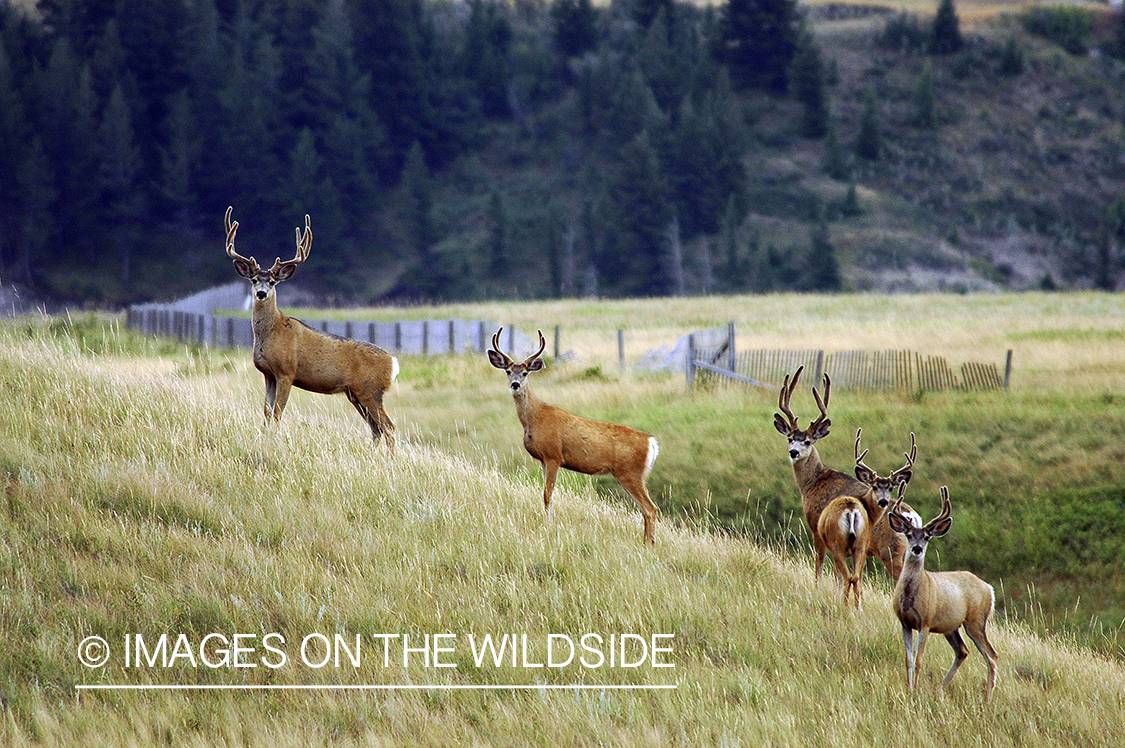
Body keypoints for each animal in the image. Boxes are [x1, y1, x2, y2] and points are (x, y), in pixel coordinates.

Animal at [224, 206, 397, 450]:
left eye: (272, 282)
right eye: (254, 279)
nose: (261, 293)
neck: (273, 332)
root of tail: (393, 363)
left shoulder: (287, 371)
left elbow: (276, 414)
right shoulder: (268, 374)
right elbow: (266, 414)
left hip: (370, 390)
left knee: (388, 427)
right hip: (356, 393)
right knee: (376, 429)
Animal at [487, 328, 660, 545]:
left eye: (525, 372)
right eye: (508, 371)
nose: (516, 384)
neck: (535, 417)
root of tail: (651, 442)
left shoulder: (553, 455)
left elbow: (547, 494)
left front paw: (548, 526)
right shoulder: (543, 459)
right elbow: (548, 494)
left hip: (630, 472)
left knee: (650, 508)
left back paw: (649, 545)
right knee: (646, 509)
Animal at [888, 487, 999, 701]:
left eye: (926, 537)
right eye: (908, 534)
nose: (917, 549)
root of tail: (989, 588)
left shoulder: (925, 621)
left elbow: (919, 661)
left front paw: (915, 691)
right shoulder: (904, 622)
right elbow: (908, 660)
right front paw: (909, 689)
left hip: (976, 620)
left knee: (992, 655)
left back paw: (987, 699)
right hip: (951, 626)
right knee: (962, 651)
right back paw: (940, 688)